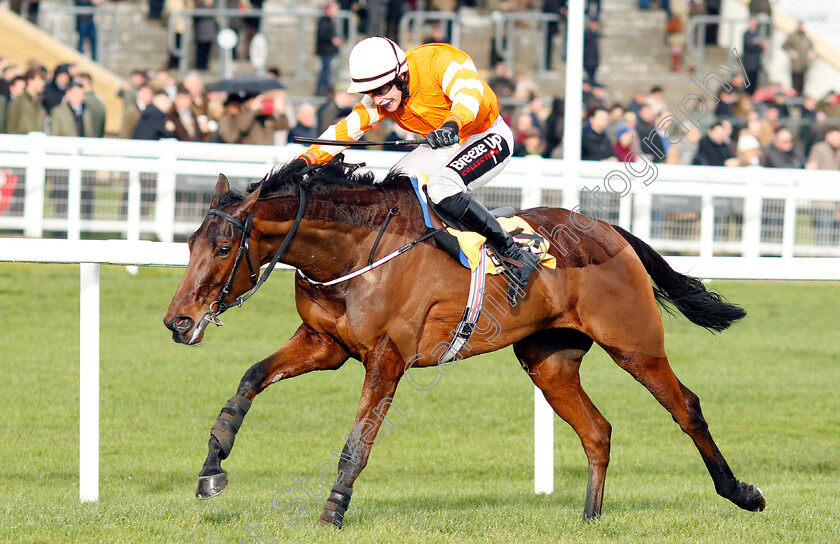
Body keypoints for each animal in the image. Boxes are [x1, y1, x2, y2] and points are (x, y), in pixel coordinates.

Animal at [164, 157, 768, 528]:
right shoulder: (324, 344)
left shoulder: (388, 357)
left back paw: (741, 492)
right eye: (190, 243)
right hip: (549, 360)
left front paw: (333, 510)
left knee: (686, 407)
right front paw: (213, 466)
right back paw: (591, 518)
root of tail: (609, 231)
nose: (178, 322)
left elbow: (358, 441)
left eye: (223, 248)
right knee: (597, 430)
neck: (356, 252)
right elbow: (249, 379)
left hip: (634, 344)